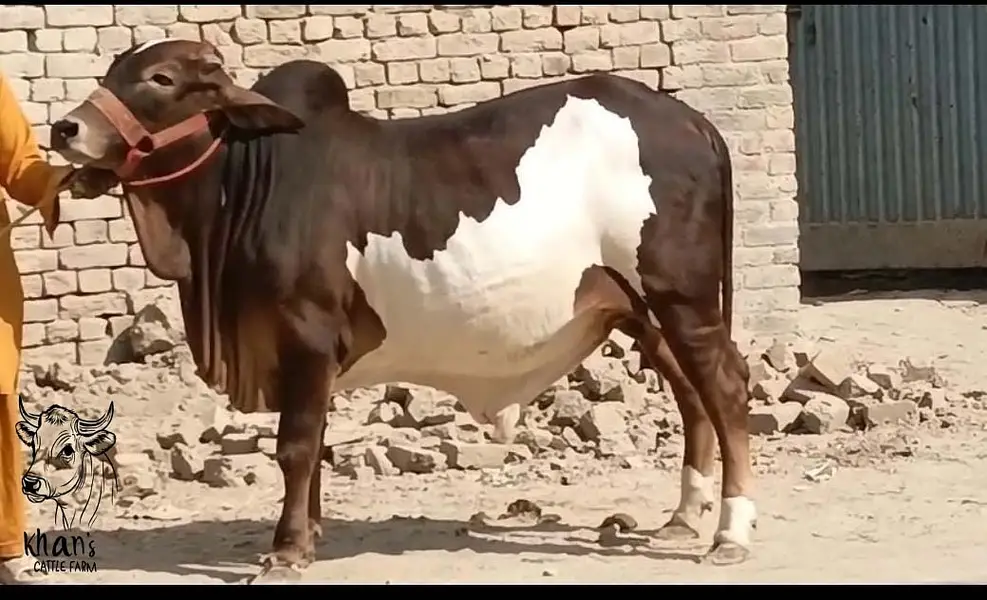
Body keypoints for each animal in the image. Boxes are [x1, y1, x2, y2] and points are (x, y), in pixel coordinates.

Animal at [50, 39, 754, 581]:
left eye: (161, 79)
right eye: (113, 70)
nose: (65, 128)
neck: (251, 180)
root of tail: (691, 120)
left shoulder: (306, 338)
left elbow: (296, 447)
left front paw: (286, 551)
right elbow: (316, 445)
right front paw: (310, 533)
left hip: (682, 300)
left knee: (725, 388)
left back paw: (730, 534)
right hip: (642, 312)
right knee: (692, 396)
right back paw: (683, 518)